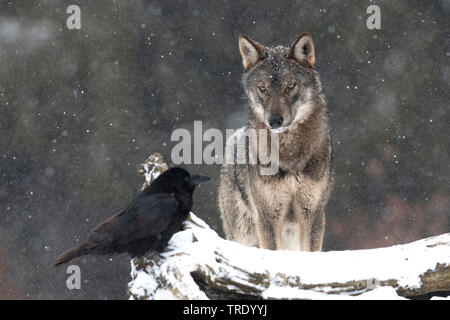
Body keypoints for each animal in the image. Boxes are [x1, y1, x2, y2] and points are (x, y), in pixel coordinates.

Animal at [220, 33, 332, 251]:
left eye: (290, 86)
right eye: (263, 89)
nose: (275, 121)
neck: (289, 153)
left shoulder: (313, 214)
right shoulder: (268, 216)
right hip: (243, 234)